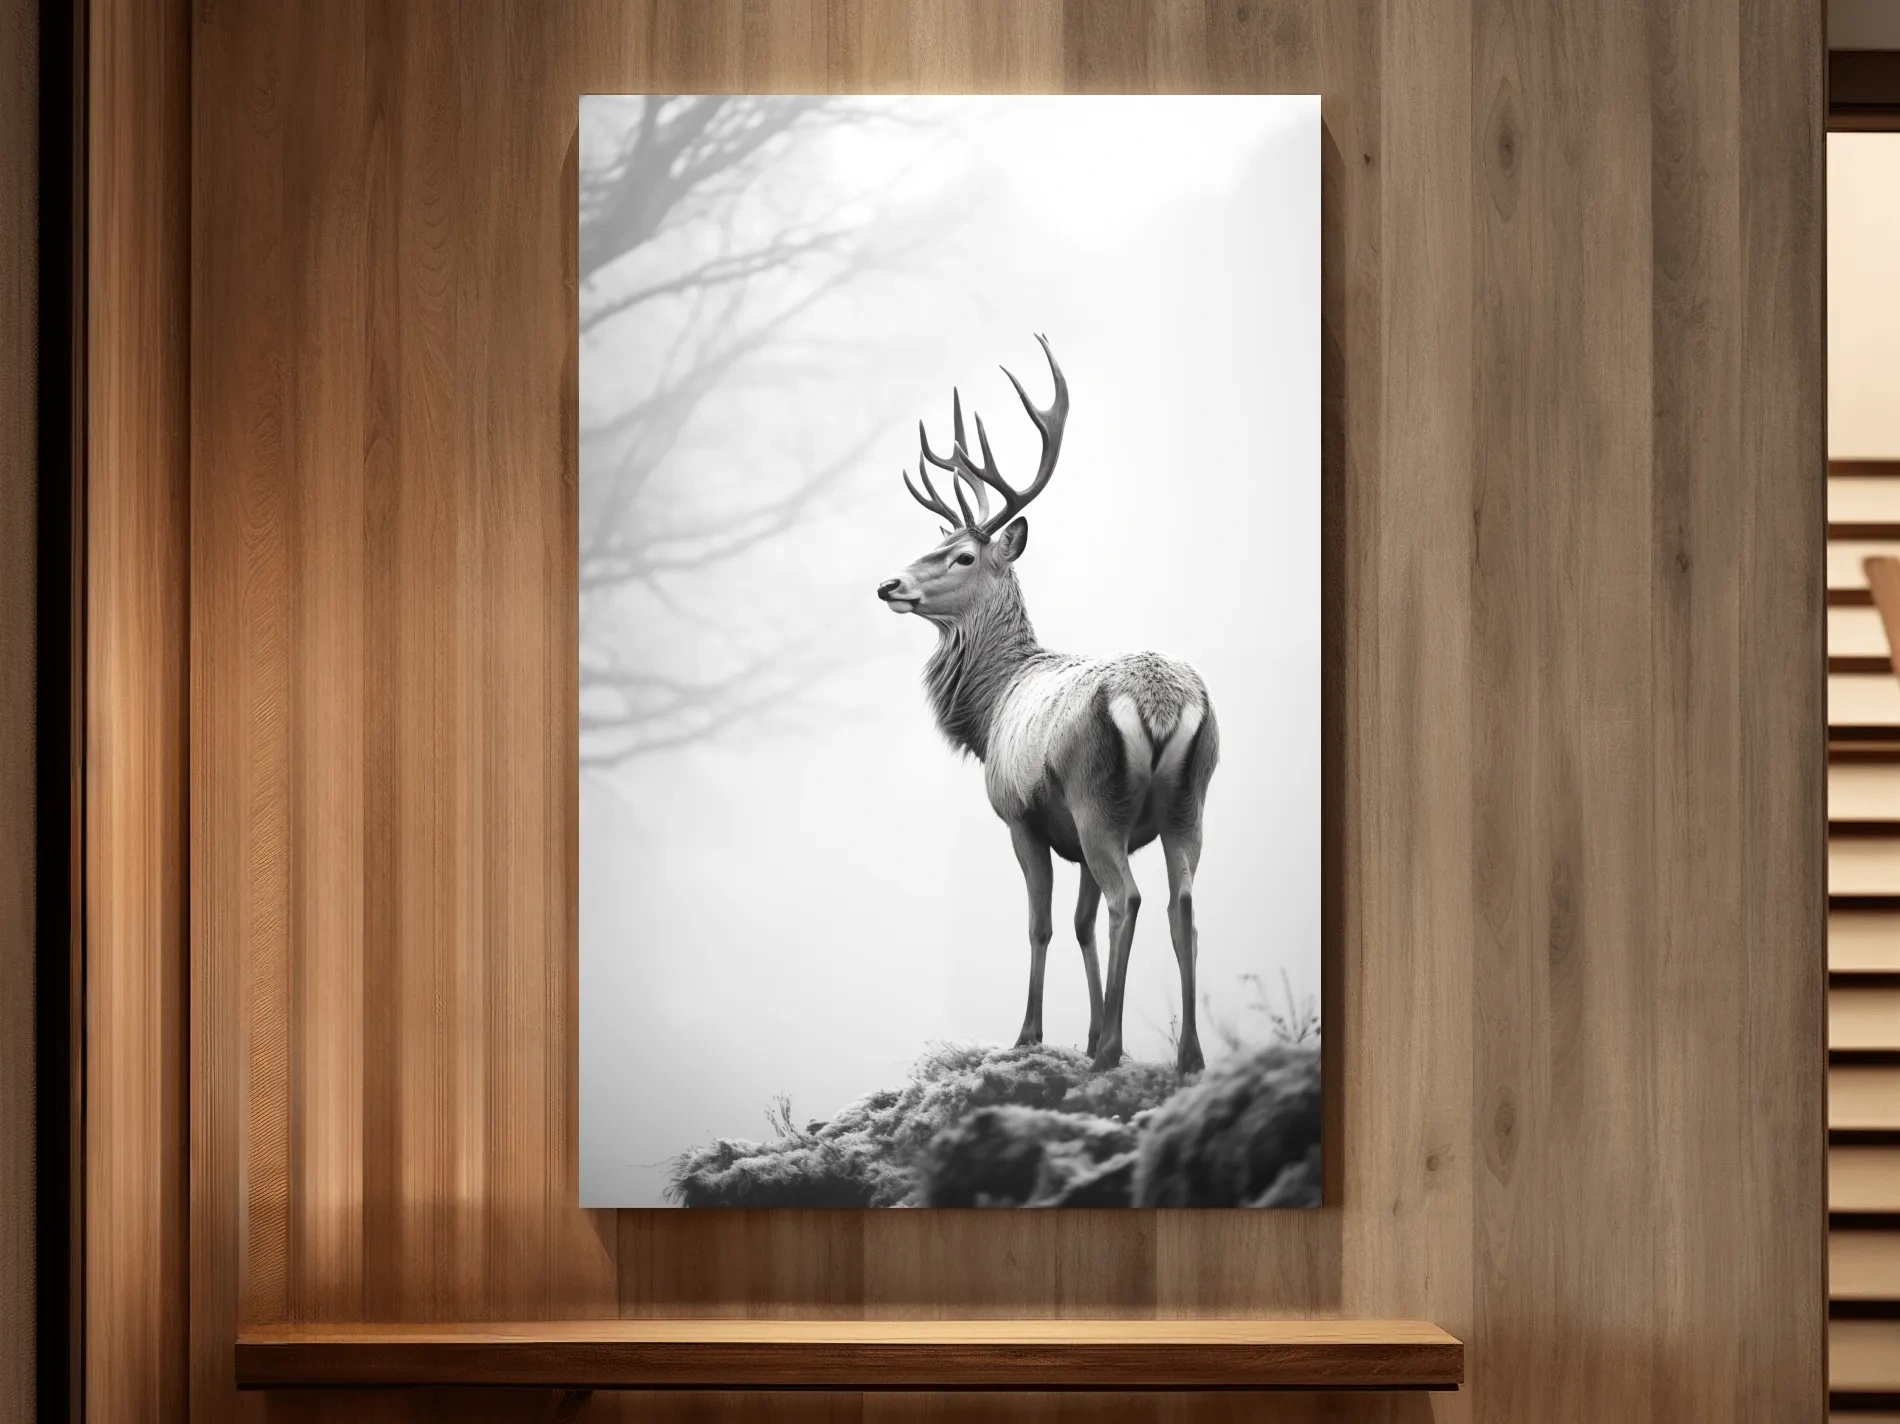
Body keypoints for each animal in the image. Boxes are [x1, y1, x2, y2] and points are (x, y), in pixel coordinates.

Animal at [876, 336, 1218, 1075]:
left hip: (1096, 795)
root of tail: (1160, 702)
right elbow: (1082, 924)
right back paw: (1187, 1057)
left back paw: (1113, 1050)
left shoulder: (1021, 815)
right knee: (1180, 904)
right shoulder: (1075, 837)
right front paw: (1084, 1031)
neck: (990, 709)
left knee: (1129, 897)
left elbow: (1043, 924)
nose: (888, 584)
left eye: (962, 555)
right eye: (935, 543)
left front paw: (1032, 1035)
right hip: (1189, 800)